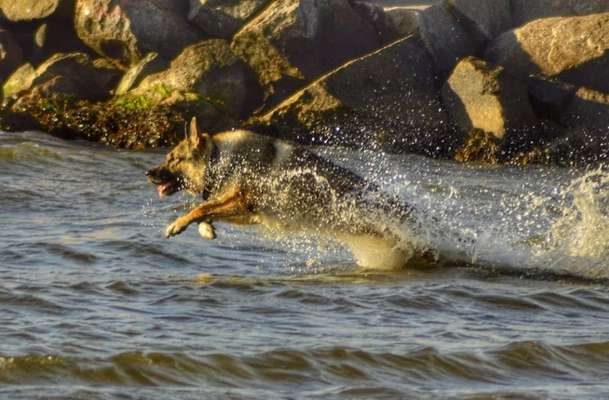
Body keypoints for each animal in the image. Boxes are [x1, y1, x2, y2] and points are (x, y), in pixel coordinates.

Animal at [147, 118, 422, 268]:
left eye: (172, 159)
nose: (148, 173)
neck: (221, 159)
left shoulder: (244, 203)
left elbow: (199, 208)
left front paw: (177, 225)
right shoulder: (250, 213)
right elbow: (206, 211)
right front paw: (206, 229)